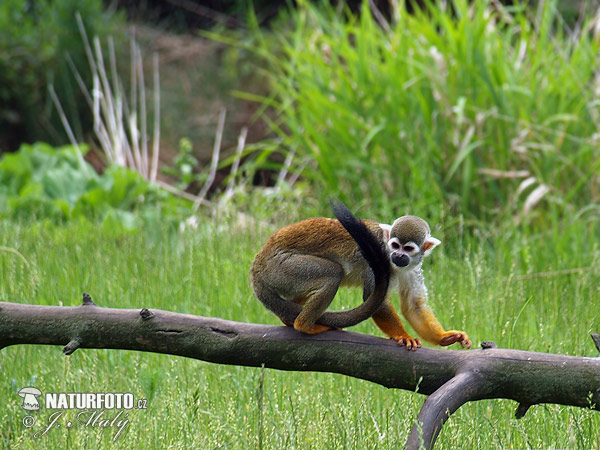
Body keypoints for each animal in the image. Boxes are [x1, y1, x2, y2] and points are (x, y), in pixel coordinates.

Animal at [251, 201, 472, 352]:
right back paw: (304, 325)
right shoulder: (377, 261)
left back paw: (291, 318)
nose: (398, 255)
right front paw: (402, 335)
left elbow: (413, 305)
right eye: (395, 245)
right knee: (333, 273)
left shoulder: (413, 268)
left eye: (408, 248)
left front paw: (445, 337)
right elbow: (375, 300)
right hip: (282, 267)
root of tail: (257, 266)